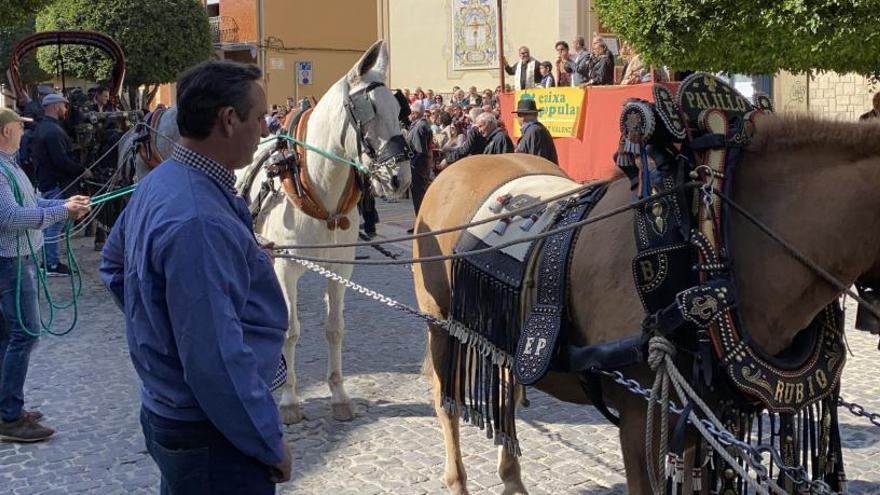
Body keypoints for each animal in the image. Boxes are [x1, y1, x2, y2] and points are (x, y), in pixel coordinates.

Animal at [120, 40, 412, 424]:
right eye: (369, 110)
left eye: (398, 109)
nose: (399, 179)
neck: (314, 184)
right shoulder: (285, 267)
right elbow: (290, 331)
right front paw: (289, 400)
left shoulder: (340, 268)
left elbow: (334, 328)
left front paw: (338, 394)